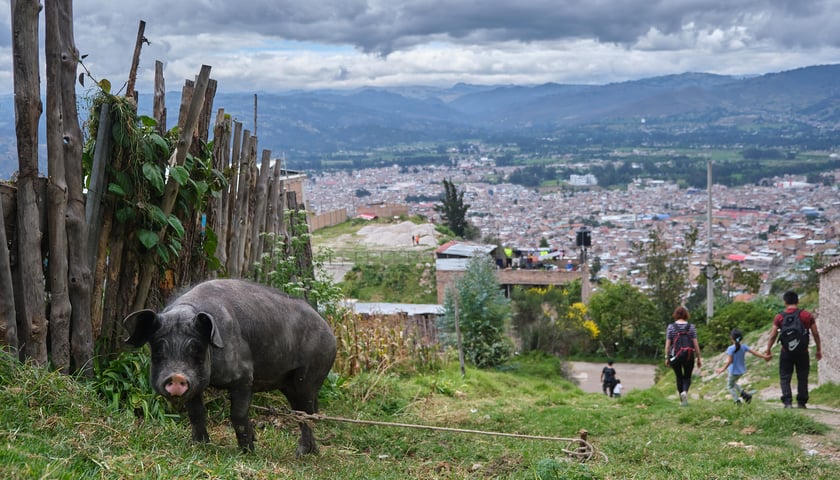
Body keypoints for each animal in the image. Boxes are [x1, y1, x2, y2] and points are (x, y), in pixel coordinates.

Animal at [124, 278, 334, 454]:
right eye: (158, 349)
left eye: (197, 349)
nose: (177, 376)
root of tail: (329, 330)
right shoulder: (196, 384)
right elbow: (196, 413)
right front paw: (200, 446)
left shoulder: (244, 376)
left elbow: (238, 415)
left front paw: (248, 452)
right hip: (289, 384)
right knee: (304, 412)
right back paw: (312, 452)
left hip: (310, 375)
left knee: (308, 414)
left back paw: (301, 453)